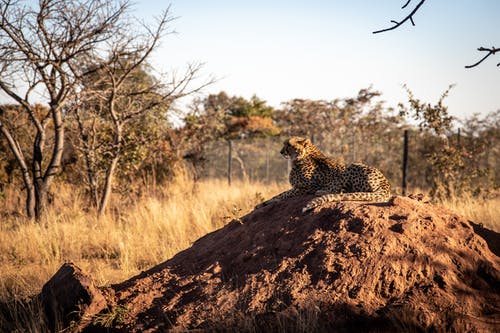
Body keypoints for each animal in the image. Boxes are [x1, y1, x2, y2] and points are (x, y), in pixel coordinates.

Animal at [256, 136, 392, 211]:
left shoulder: (305, 188)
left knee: (344, 191)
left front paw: (268, 202)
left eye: (288, 145)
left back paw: (322, 191)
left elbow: (283, 194)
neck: (302, 155)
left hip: (353, 166)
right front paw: (264, 203)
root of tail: (386, 183)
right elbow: (281, 194)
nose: (281, 152)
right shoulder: (299, 187)